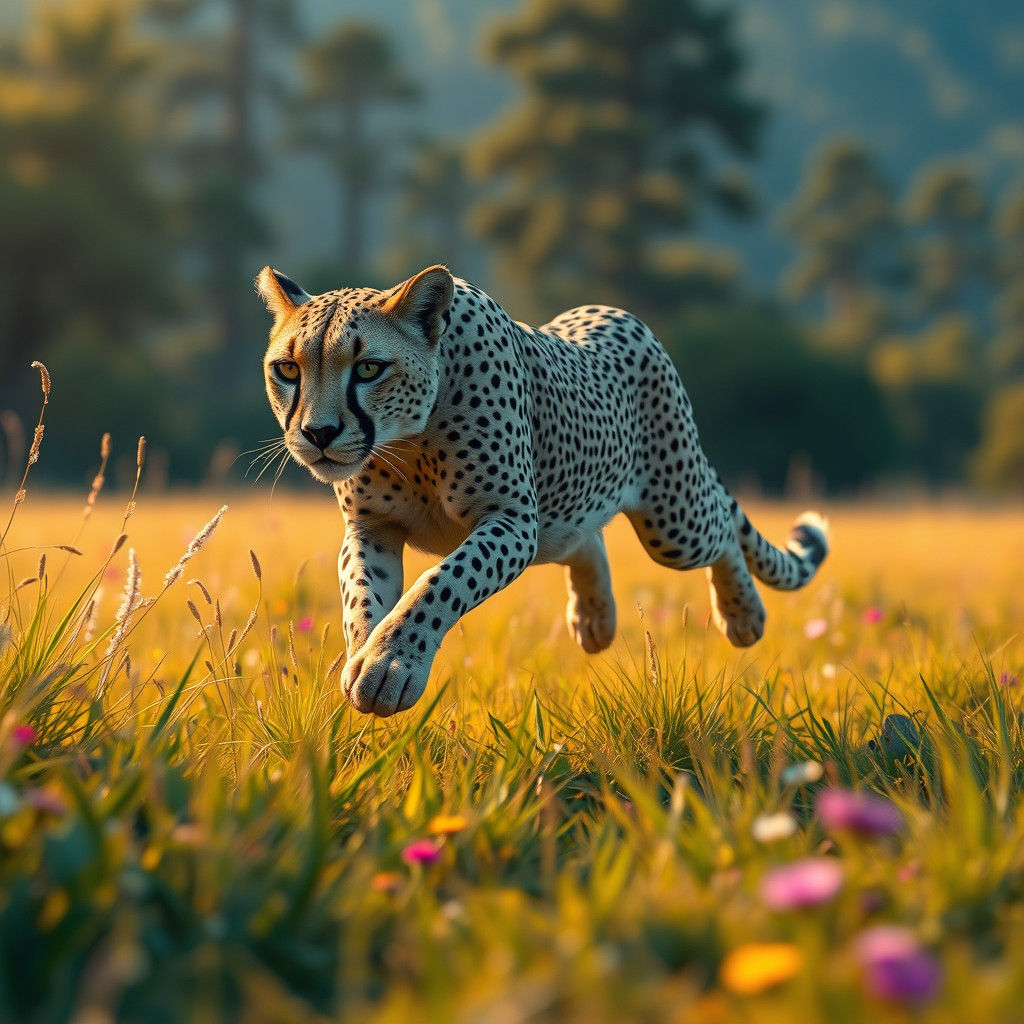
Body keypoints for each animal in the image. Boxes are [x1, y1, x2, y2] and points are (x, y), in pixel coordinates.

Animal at [256, 264, 829, 717]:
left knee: (724, 528)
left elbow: (439, 583)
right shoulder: (371, 527)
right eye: (288, 369)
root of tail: (615, 311)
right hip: (570, 518)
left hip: (674, 521)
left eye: (369, 368)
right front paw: (365, 655)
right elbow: (361, 596)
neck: (410, 440)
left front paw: (389, 664)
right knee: (584, 538)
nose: (317, 434)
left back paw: (743, 615)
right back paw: (595, 618)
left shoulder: (511, 520)